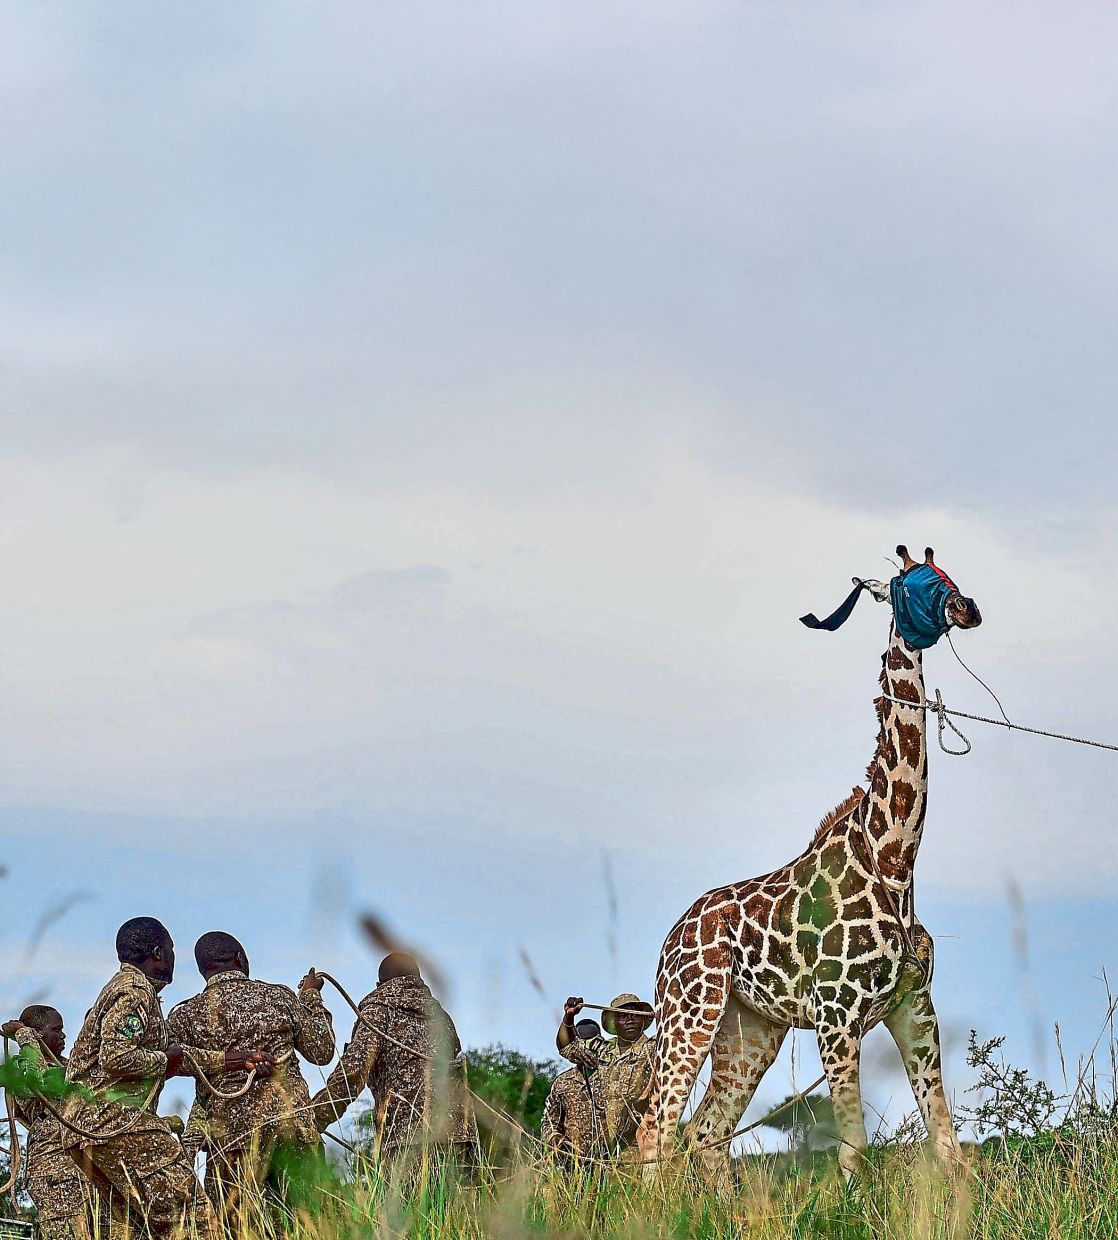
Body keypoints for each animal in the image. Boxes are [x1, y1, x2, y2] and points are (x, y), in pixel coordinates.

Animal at [635, 546, 982, 1180]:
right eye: (914, 581)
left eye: (949, 572)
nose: (967, 608)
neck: (894, 858)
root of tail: (671, 937)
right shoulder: (836, 1015)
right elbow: (854, 1147)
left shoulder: (915, 1008)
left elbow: (946, 1145)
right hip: (690, 1009)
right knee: (659, 1127)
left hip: (751, 1027)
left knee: (708, 1132)